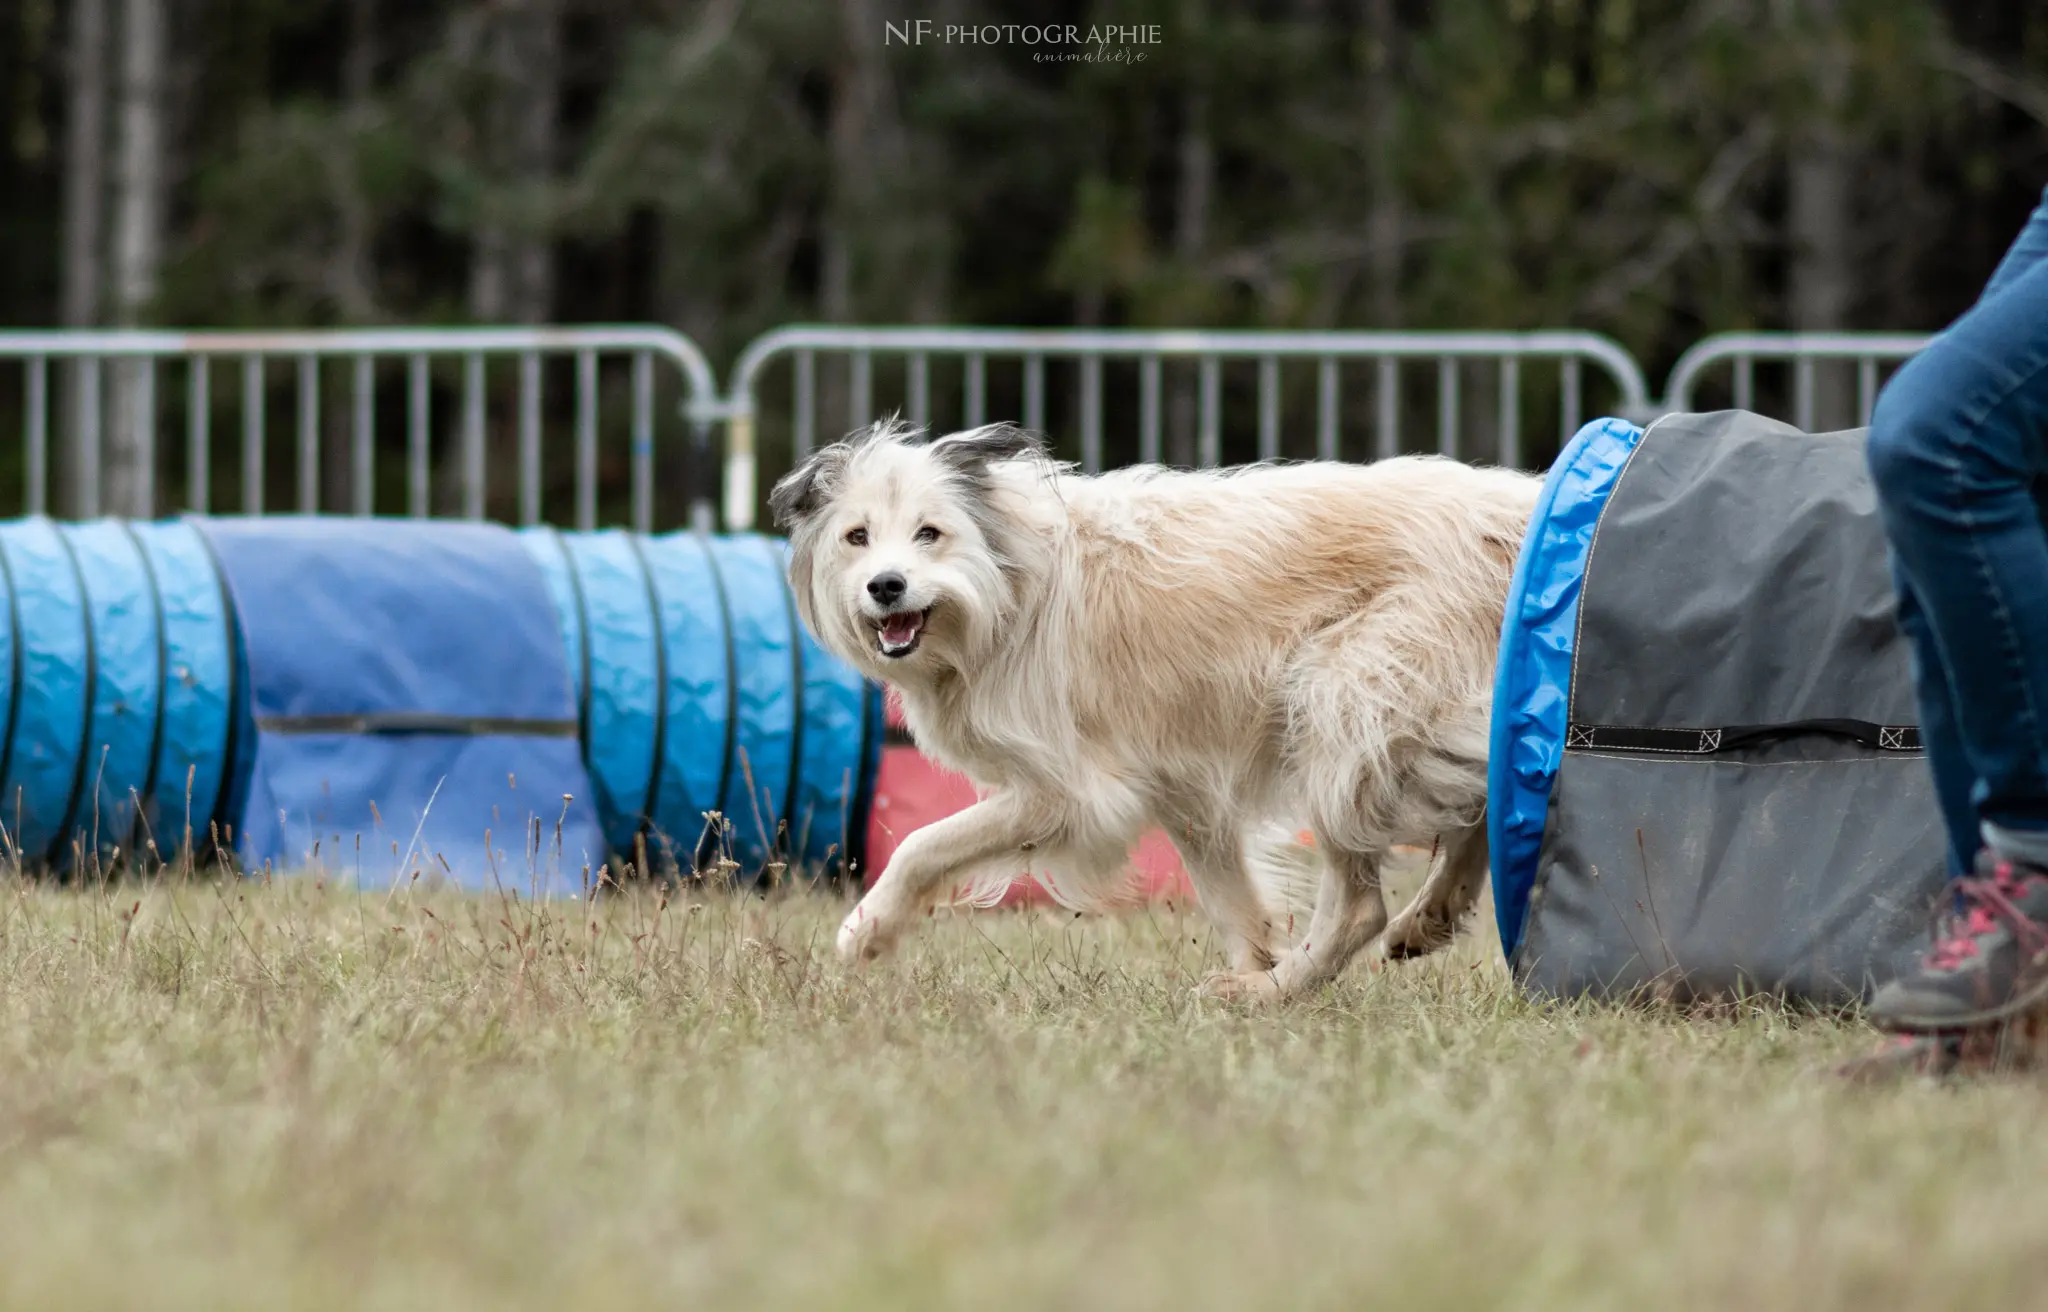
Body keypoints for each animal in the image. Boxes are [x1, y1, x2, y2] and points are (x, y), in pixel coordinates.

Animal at [770, 419, 1540, 1002]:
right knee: (1481, 807)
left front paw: (866, 931)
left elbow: (923, 844)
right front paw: (1255, 962)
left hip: (1341, 702)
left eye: (929, 533)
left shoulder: (1074, 795)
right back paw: (1418, 922)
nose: (885, 586)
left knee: (1360, 906)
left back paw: (1272, 993)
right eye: (857, 537)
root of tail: (1519, 515)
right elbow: (1232, 901)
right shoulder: (1184, 787)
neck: (1007, 589)